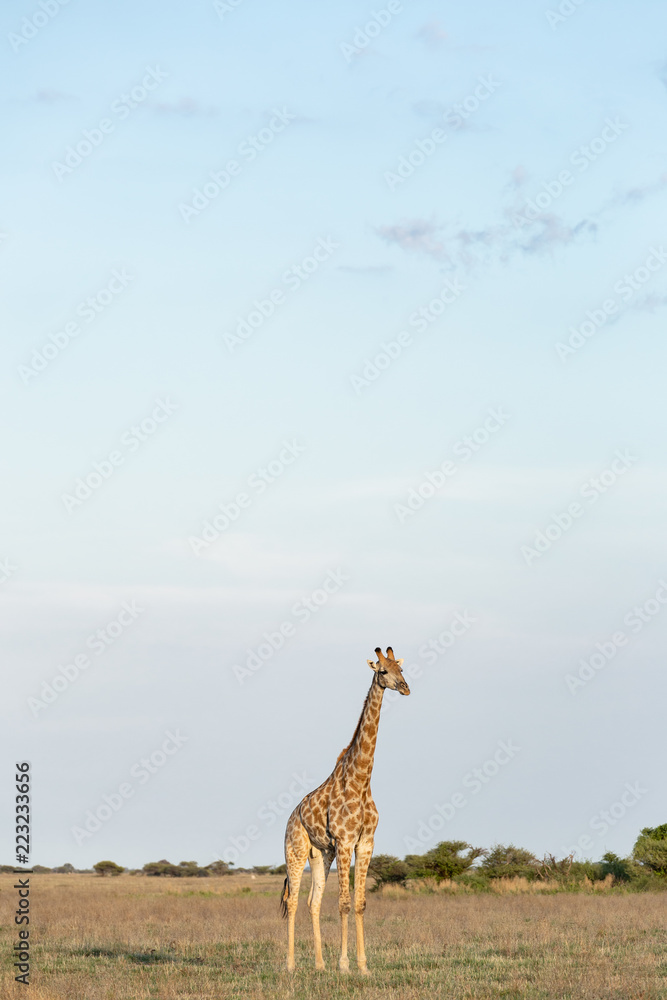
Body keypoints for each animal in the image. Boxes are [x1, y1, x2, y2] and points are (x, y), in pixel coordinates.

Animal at [280, 646, 410, 974]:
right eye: (383, 671)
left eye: (401, 669)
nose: (405, 688)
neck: (361, 780)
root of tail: (291, 817)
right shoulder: (344, 841)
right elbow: (343, 904)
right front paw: (344, 964)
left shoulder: (365, 843)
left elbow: (360, 903)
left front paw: (362, 966)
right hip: (295, 850)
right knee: (293, 901)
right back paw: (290, 965)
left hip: (320, 854)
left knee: (313, 902)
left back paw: (318, 965)